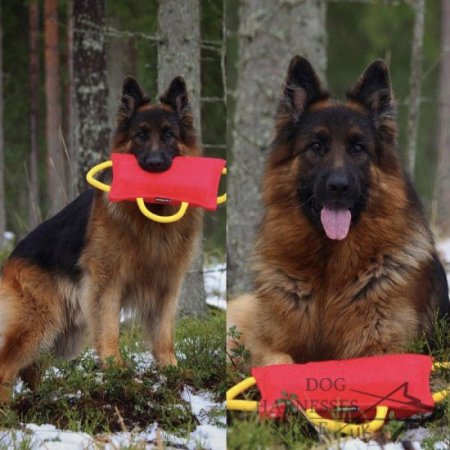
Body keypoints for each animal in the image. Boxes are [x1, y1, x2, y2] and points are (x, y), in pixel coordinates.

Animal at [0, 74, 201, 400]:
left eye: (169, 134)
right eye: (141, 135)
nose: (155, 164)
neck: (150, 216)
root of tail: (11, 257)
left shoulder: (166, 286)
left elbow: (163, 335)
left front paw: (171, 370)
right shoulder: (107, 284)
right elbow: (109, 331)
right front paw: (118, 373)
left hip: (67, 331)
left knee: (31, 368)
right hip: (41, 322)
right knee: (7, 367)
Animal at [230, 56, 448, 368]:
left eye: (357, 148)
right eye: (316, 146)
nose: (338, 187)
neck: (329, 267)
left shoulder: (384, 350)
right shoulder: (266, 345)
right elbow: (278, 360)